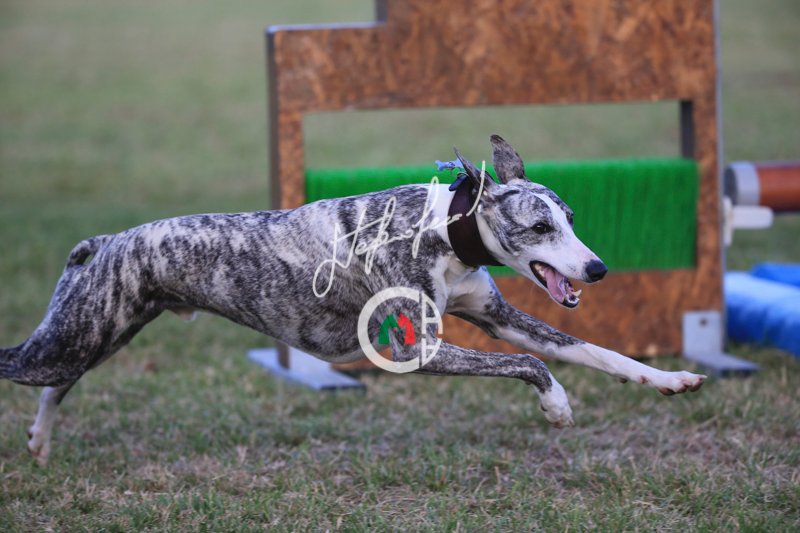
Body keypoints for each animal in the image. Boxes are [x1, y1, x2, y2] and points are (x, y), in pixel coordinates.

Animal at [1, 135, 705, 465]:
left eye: (572, 220)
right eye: (539, 227)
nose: (598, 268)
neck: (441, 227)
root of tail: (106, 243)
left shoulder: (498, 318)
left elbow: (594, 351)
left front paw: (672, 379)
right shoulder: (422, 350)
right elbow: (534, 365)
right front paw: (557, 407)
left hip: (92, 337)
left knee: (55, 387)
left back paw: (38, 443)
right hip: (70, 339)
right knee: (21, 366)